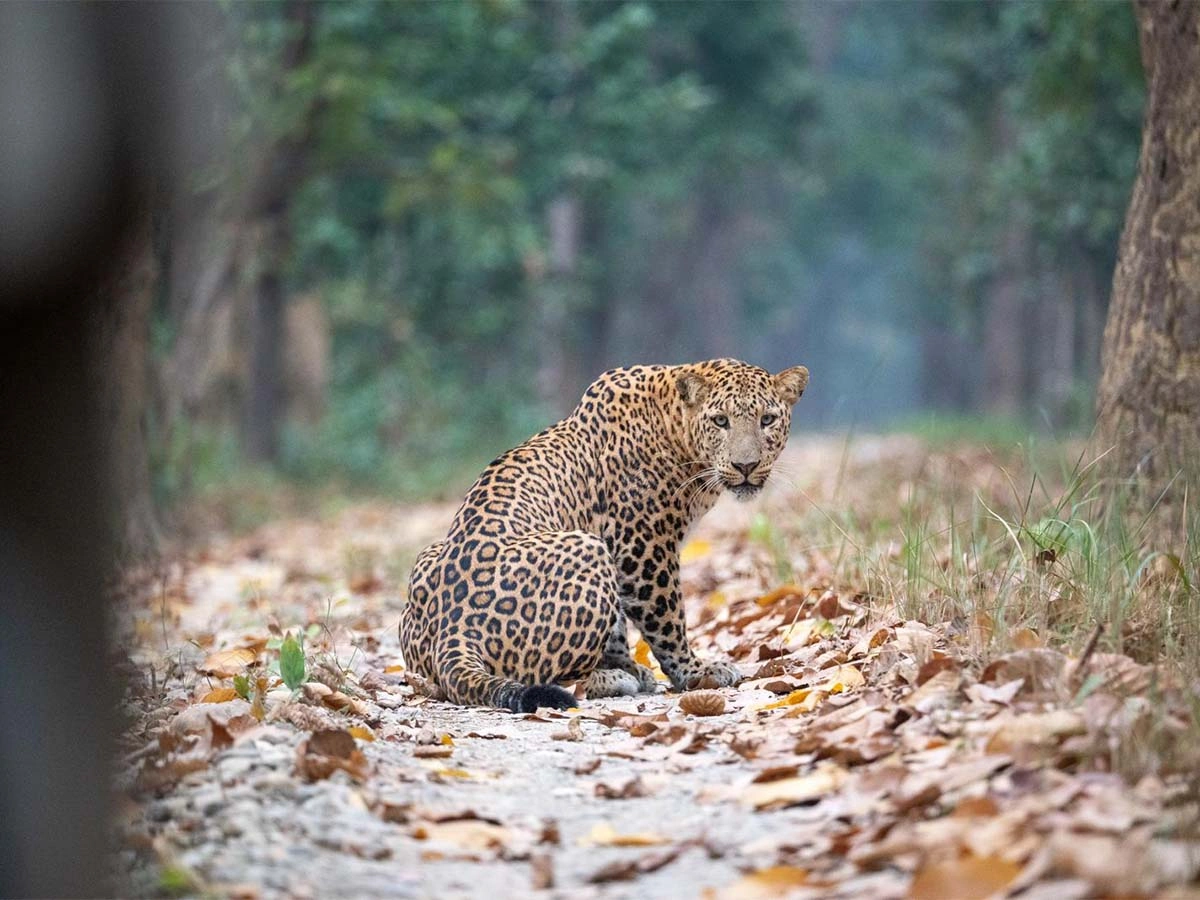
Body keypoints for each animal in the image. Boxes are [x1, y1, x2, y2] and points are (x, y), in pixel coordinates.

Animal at [398, 358, 809, 712]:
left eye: (768, 420)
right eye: (721, 421)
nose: (746, 465)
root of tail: (454, 627)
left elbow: (616, 628)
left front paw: (630, 664)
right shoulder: (643, 547)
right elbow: (667, 617)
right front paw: (695, 672)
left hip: (429, 559)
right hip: (587, 547)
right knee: (551, 676)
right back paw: (611, 679)